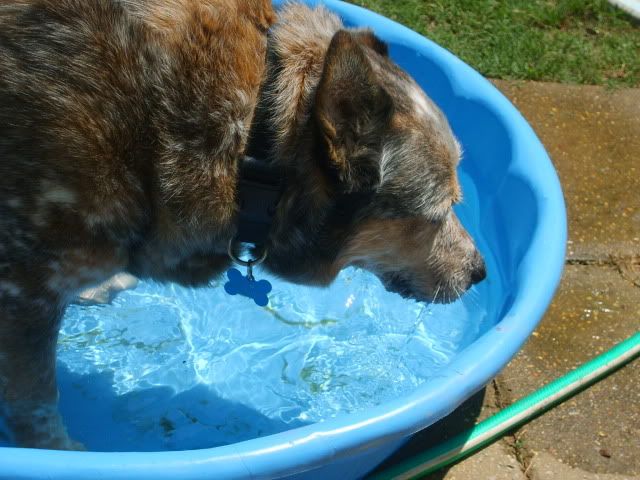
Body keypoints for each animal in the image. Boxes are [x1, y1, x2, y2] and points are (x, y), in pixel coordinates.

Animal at [1, 0, 484, 450]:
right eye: (438, 211)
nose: (480, 272)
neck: (254, 139)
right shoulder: (24, 288)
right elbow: (36, 399)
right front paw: (56, 448)